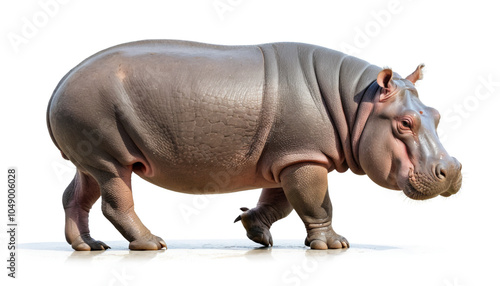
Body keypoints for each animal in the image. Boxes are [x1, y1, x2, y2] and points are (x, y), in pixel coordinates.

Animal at [46, 39, 460, 250]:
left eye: (437, 115)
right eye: (405, 123)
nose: (453, 169)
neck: (357, 103)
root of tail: (61, 83)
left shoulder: (285, 158)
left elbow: (279, 202)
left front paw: (257, 233)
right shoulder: (304, 159)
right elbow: (316, 202)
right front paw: (335, 245)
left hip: (89, 157)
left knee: (76, 195)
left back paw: (88, 246)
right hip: (111, 157)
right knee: (115, 200)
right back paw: (153, 243)